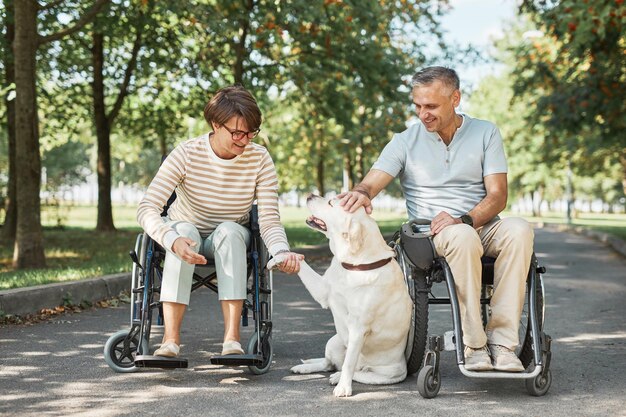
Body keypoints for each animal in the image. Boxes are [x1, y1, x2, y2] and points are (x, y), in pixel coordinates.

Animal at [272, 193, 410, 394]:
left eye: (331, 202)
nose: (310, 194)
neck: (354, 265)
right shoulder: (323, 291)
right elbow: (303, 266)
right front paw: (283, 257)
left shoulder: (358, 328)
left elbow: (349, 363)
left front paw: (343, 387)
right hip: (334, 341)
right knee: (328, 363)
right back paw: (305, 368)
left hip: (388, 374)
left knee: (357, 371)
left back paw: (338, 378)